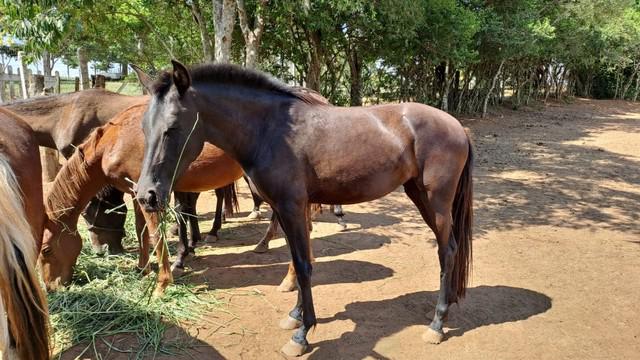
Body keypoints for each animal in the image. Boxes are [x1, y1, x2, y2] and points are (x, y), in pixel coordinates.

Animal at [136, 60, 476, 356]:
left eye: (172, 127)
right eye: (144, 128)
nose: (146, 195)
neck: (270, 131)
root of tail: (457, 127)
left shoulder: (291, 207)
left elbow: (302, 264)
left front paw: (302, 334)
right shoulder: (285, 210)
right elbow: (298, 262)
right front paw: (295, 315)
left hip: (437, 201)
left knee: (447, 250)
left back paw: (437, 324)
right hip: (418, 194)